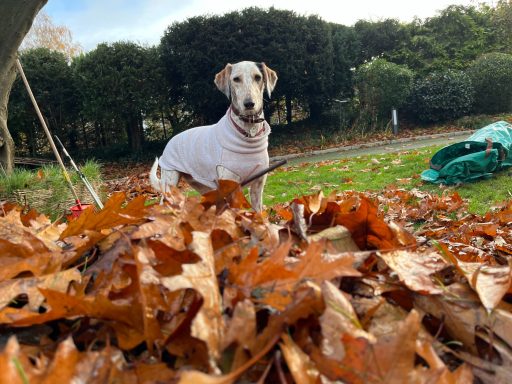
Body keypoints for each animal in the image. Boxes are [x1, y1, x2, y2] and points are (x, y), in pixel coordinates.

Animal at [150, 61, 278, 212]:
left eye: (258, 77)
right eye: (236, 79)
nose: (249, 104)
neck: (248, 133)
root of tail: (171, 140)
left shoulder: (257, 187)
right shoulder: (230, 188)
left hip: (202, 186)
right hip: (170, 182)